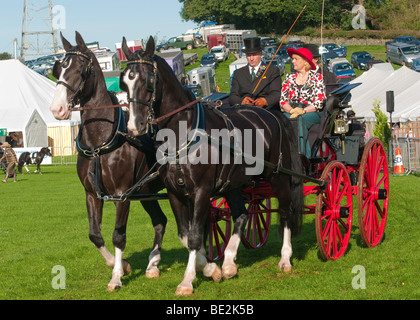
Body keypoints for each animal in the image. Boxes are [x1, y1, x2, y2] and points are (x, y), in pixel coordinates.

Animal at [49, 31, 167, 290]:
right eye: (59, 69)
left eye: (81, 69)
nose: (56, 108)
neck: (100, 143)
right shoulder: (92, 194)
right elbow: (95, 235)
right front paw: (121, 266)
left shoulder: (122, 195)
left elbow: (118, 236)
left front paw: (116, 277)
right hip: (146, 191)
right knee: (160, 221)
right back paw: (153, 266)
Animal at [120, 37, 304, 296]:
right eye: (124, 81)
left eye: (148, 80)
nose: (134, 127)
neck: (183, 133)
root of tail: (271, 115)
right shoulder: (175, 193)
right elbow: (186, 235)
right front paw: (211, 269)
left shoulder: (201, 191)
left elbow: (196, 236)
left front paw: (187, 281)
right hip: (233, 184)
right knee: (241, 214)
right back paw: (228, 263)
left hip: (277, 176)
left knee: (286, 212)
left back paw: (285, 259)